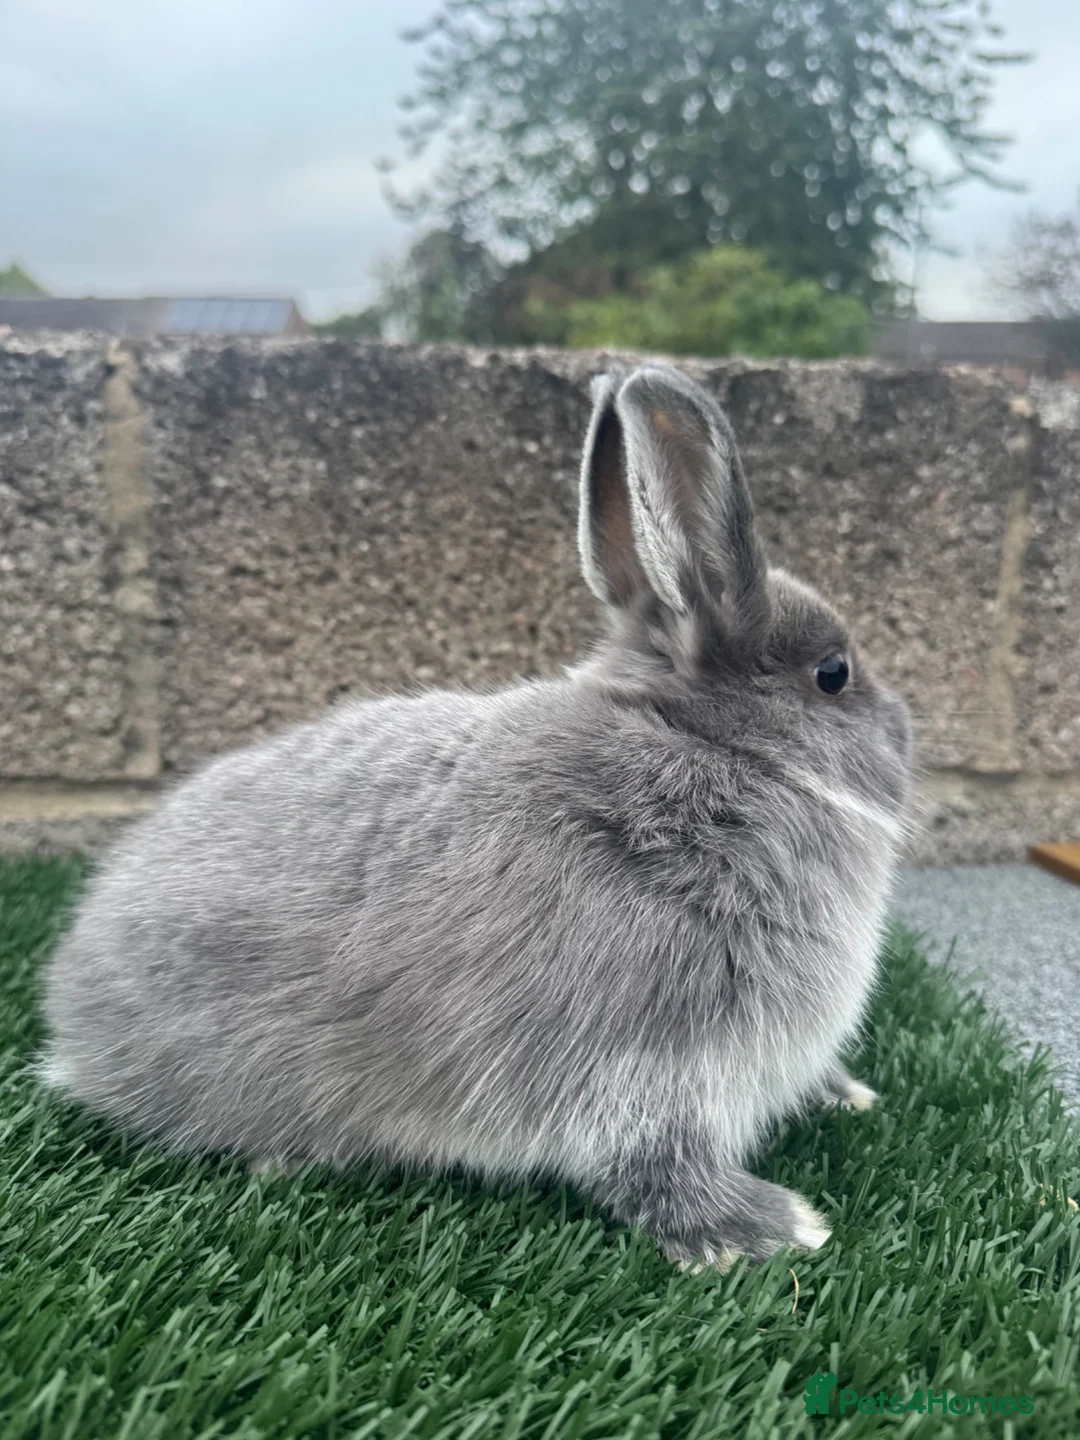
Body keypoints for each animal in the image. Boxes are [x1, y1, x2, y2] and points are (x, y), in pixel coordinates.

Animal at [41, 363, 914, 1271]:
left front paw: (845, 1095)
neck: (720, 754)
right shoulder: (646, 1058)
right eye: (833, 673)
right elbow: (651, 1158)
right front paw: (771, 1228)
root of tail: (71, 1015)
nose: (905, 729)